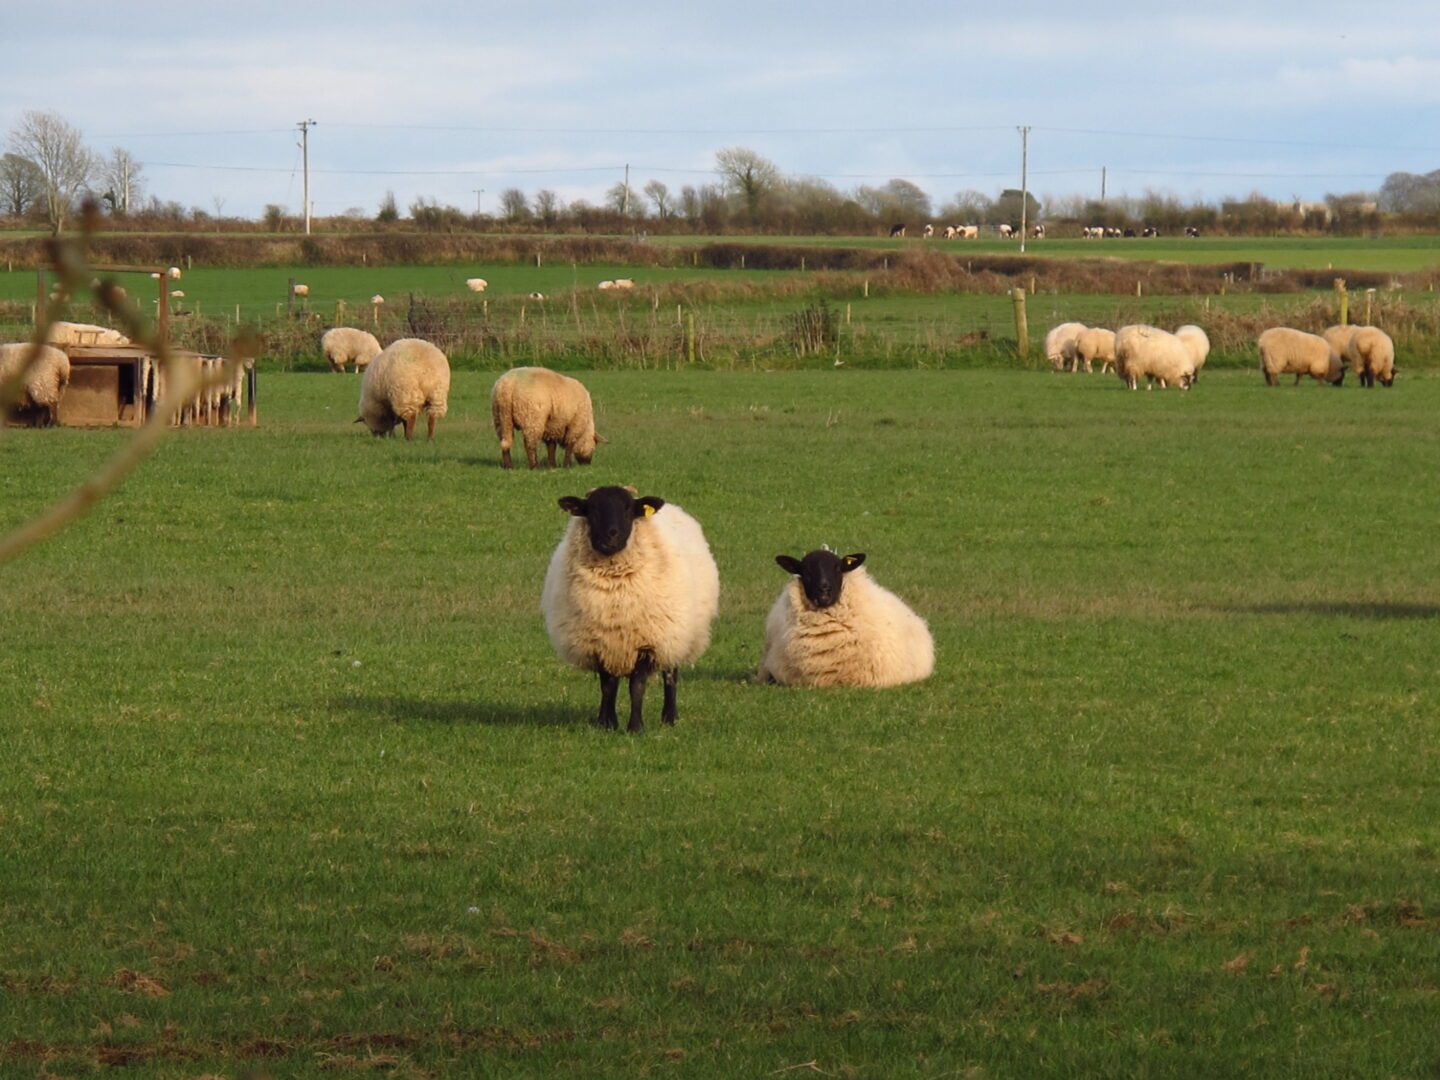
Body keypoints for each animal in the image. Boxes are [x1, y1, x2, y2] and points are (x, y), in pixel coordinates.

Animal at [541, 489, 720, 737]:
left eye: (627, 508)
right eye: (592, 508)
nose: (611, 536)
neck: (614, 590)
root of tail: (674, 508)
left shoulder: (647, 641)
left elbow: (637, 686)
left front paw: (636, 727)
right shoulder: (601, 641)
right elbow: (608, 686)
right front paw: (606, 724)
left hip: (676, 634)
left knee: (671, 675)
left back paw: (669, 717)